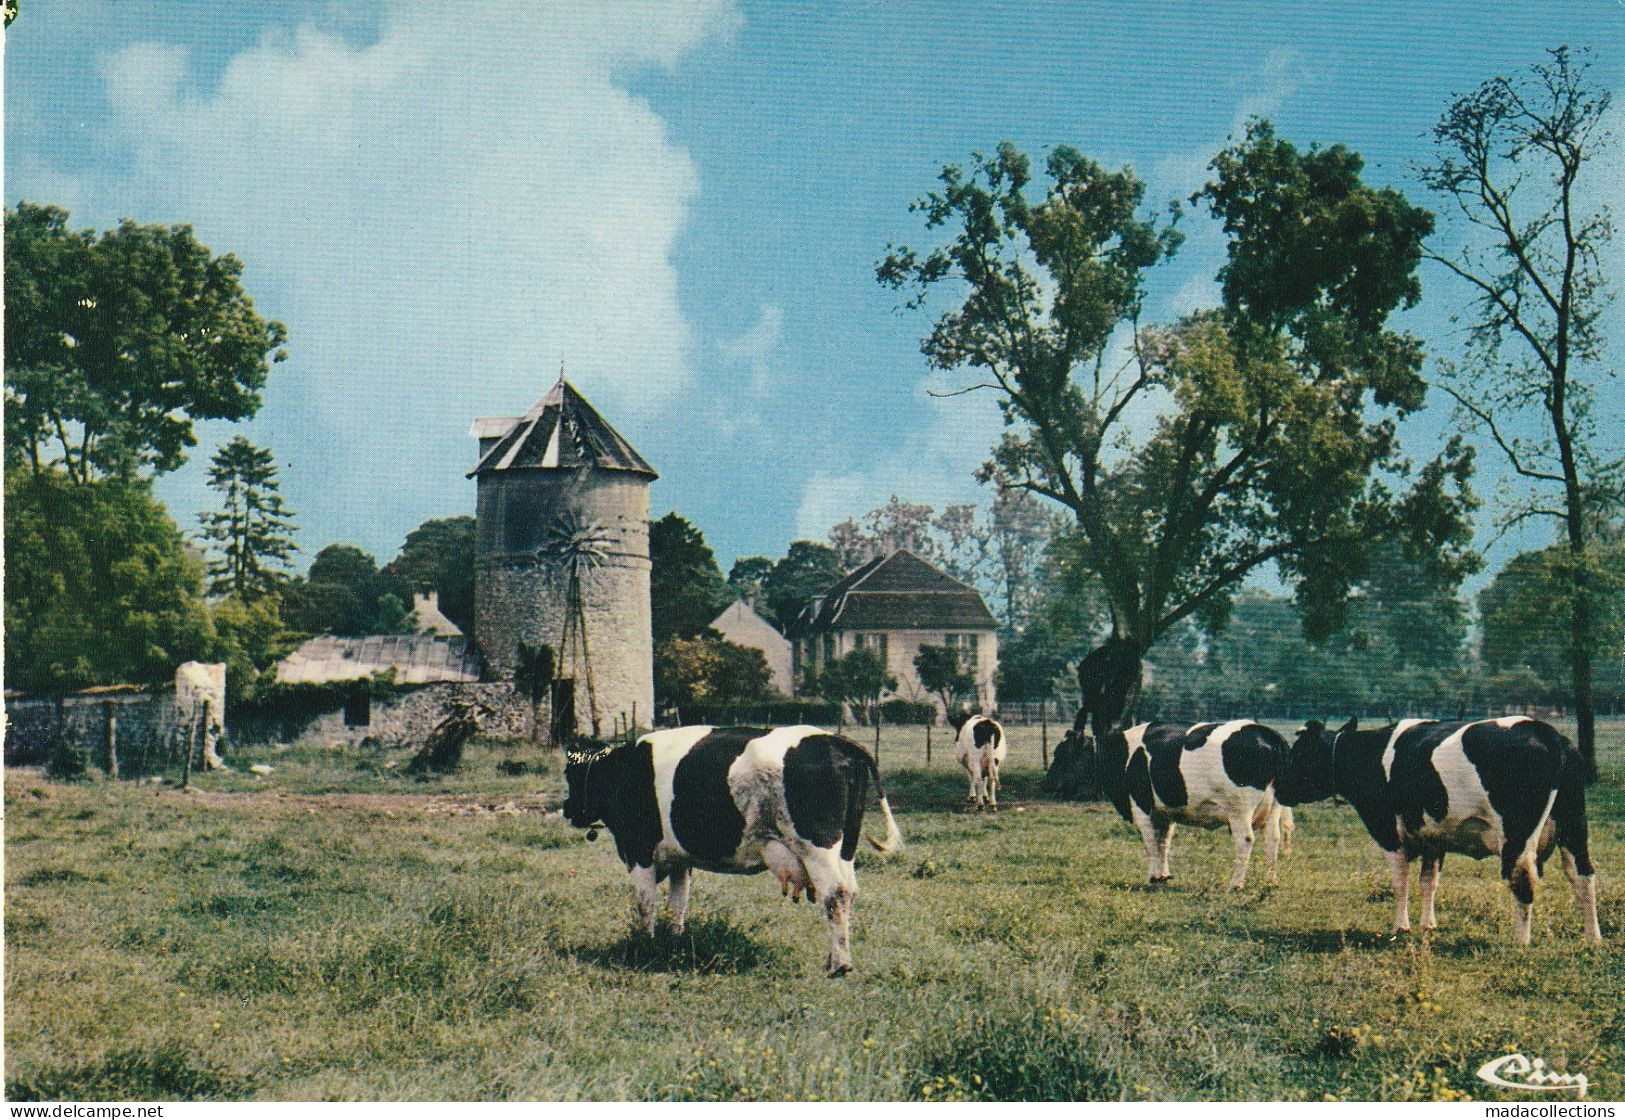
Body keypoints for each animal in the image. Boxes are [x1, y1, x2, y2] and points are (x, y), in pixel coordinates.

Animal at [565, 724, 910, 968]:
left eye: (570, 773)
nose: (568, 809)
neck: (624, 770)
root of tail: (835, 740)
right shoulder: (680, 860)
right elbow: (678, 904)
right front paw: (674, 944)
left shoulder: (638, 850)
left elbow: (645, 904)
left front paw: (645, 945)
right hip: (846, 846)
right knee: (849, 894)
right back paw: (835, 957)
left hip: (818, 846)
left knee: (835, 895)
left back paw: (840, 965)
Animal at [1098, 721, 1287, 884]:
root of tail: (1264, 732)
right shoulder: (1166, 812)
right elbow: (1163, 842)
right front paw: (1163, 876)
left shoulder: (1140, 804)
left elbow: (1150, 841)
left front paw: (1153, 877)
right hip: (1274, 806)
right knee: (1273, 838)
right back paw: (1270, 882)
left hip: (1239, 808)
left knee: (1246, 839)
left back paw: (1235, 884)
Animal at [1280, 715, 1599, 942]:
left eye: (1299, 755)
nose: (1280, 788)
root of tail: (1550, 734)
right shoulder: (1434, 837)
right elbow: (1428, 881)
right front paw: (1428, 924)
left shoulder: (1388, 831)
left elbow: (1400, 882)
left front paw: (1401, 926)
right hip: (1574, 823)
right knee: (1582, 873)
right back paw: (1592, 937)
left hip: (1517, 835)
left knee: (1522, 878)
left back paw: (1521, 941)